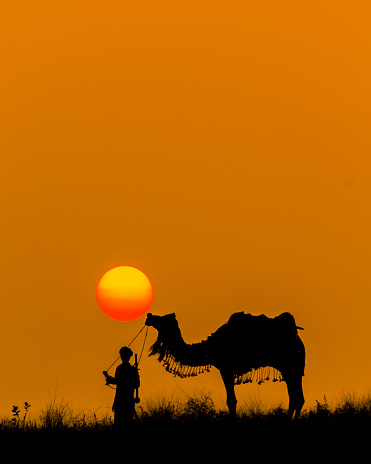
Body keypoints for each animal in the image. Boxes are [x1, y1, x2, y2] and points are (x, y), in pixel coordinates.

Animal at [145, 312, 306, 416]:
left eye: (163, 319)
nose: (149, 316)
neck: (211, 348)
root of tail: (297, 338)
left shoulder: (225, 368)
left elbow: (231, 401)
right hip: (292, 370)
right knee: (296, 398)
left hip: (291, 365)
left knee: (296, 398)